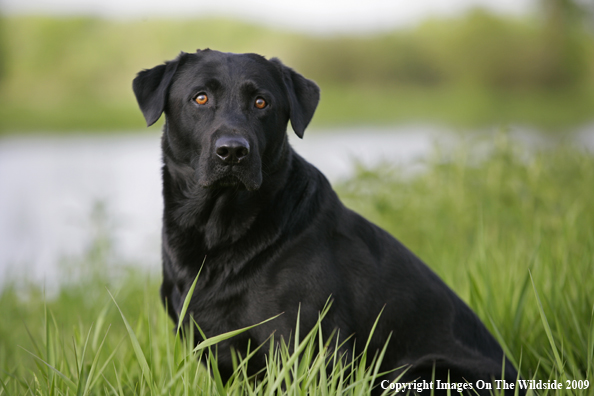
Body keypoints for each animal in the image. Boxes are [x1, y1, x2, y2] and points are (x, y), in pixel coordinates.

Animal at [133, 48, 520, 392]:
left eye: (261, 103)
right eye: (200, 98)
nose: (232, 152)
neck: (219, 230)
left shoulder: (310, 344)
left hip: (421, 374)